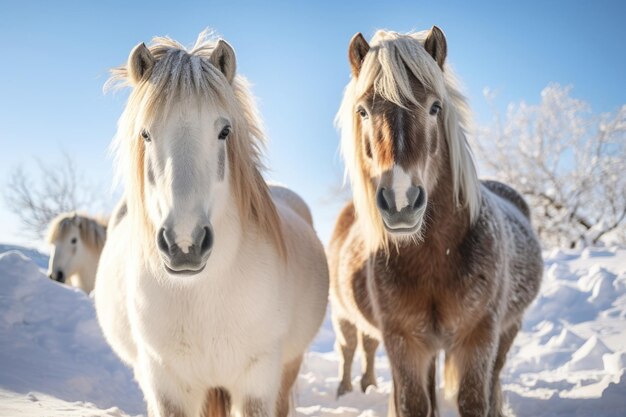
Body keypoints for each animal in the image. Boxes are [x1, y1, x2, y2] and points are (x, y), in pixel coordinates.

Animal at [95, 30, 330, 416]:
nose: (184, 245)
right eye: (145, 134)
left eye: (224, 131)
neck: (201, 294)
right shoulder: (166, 384)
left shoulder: (257, 381)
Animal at [326, 27, 540, 414]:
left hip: (508, 329)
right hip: (344, 315)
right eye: (362, 111)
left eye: (435, 107)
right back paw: (348, 389)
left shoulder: (478, 337)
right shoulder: (404, 342)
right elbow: (413, 403)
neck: (434, 258)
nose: (400, 202)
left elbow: (474, 400)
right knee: (353, 348)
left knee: (495, 374)